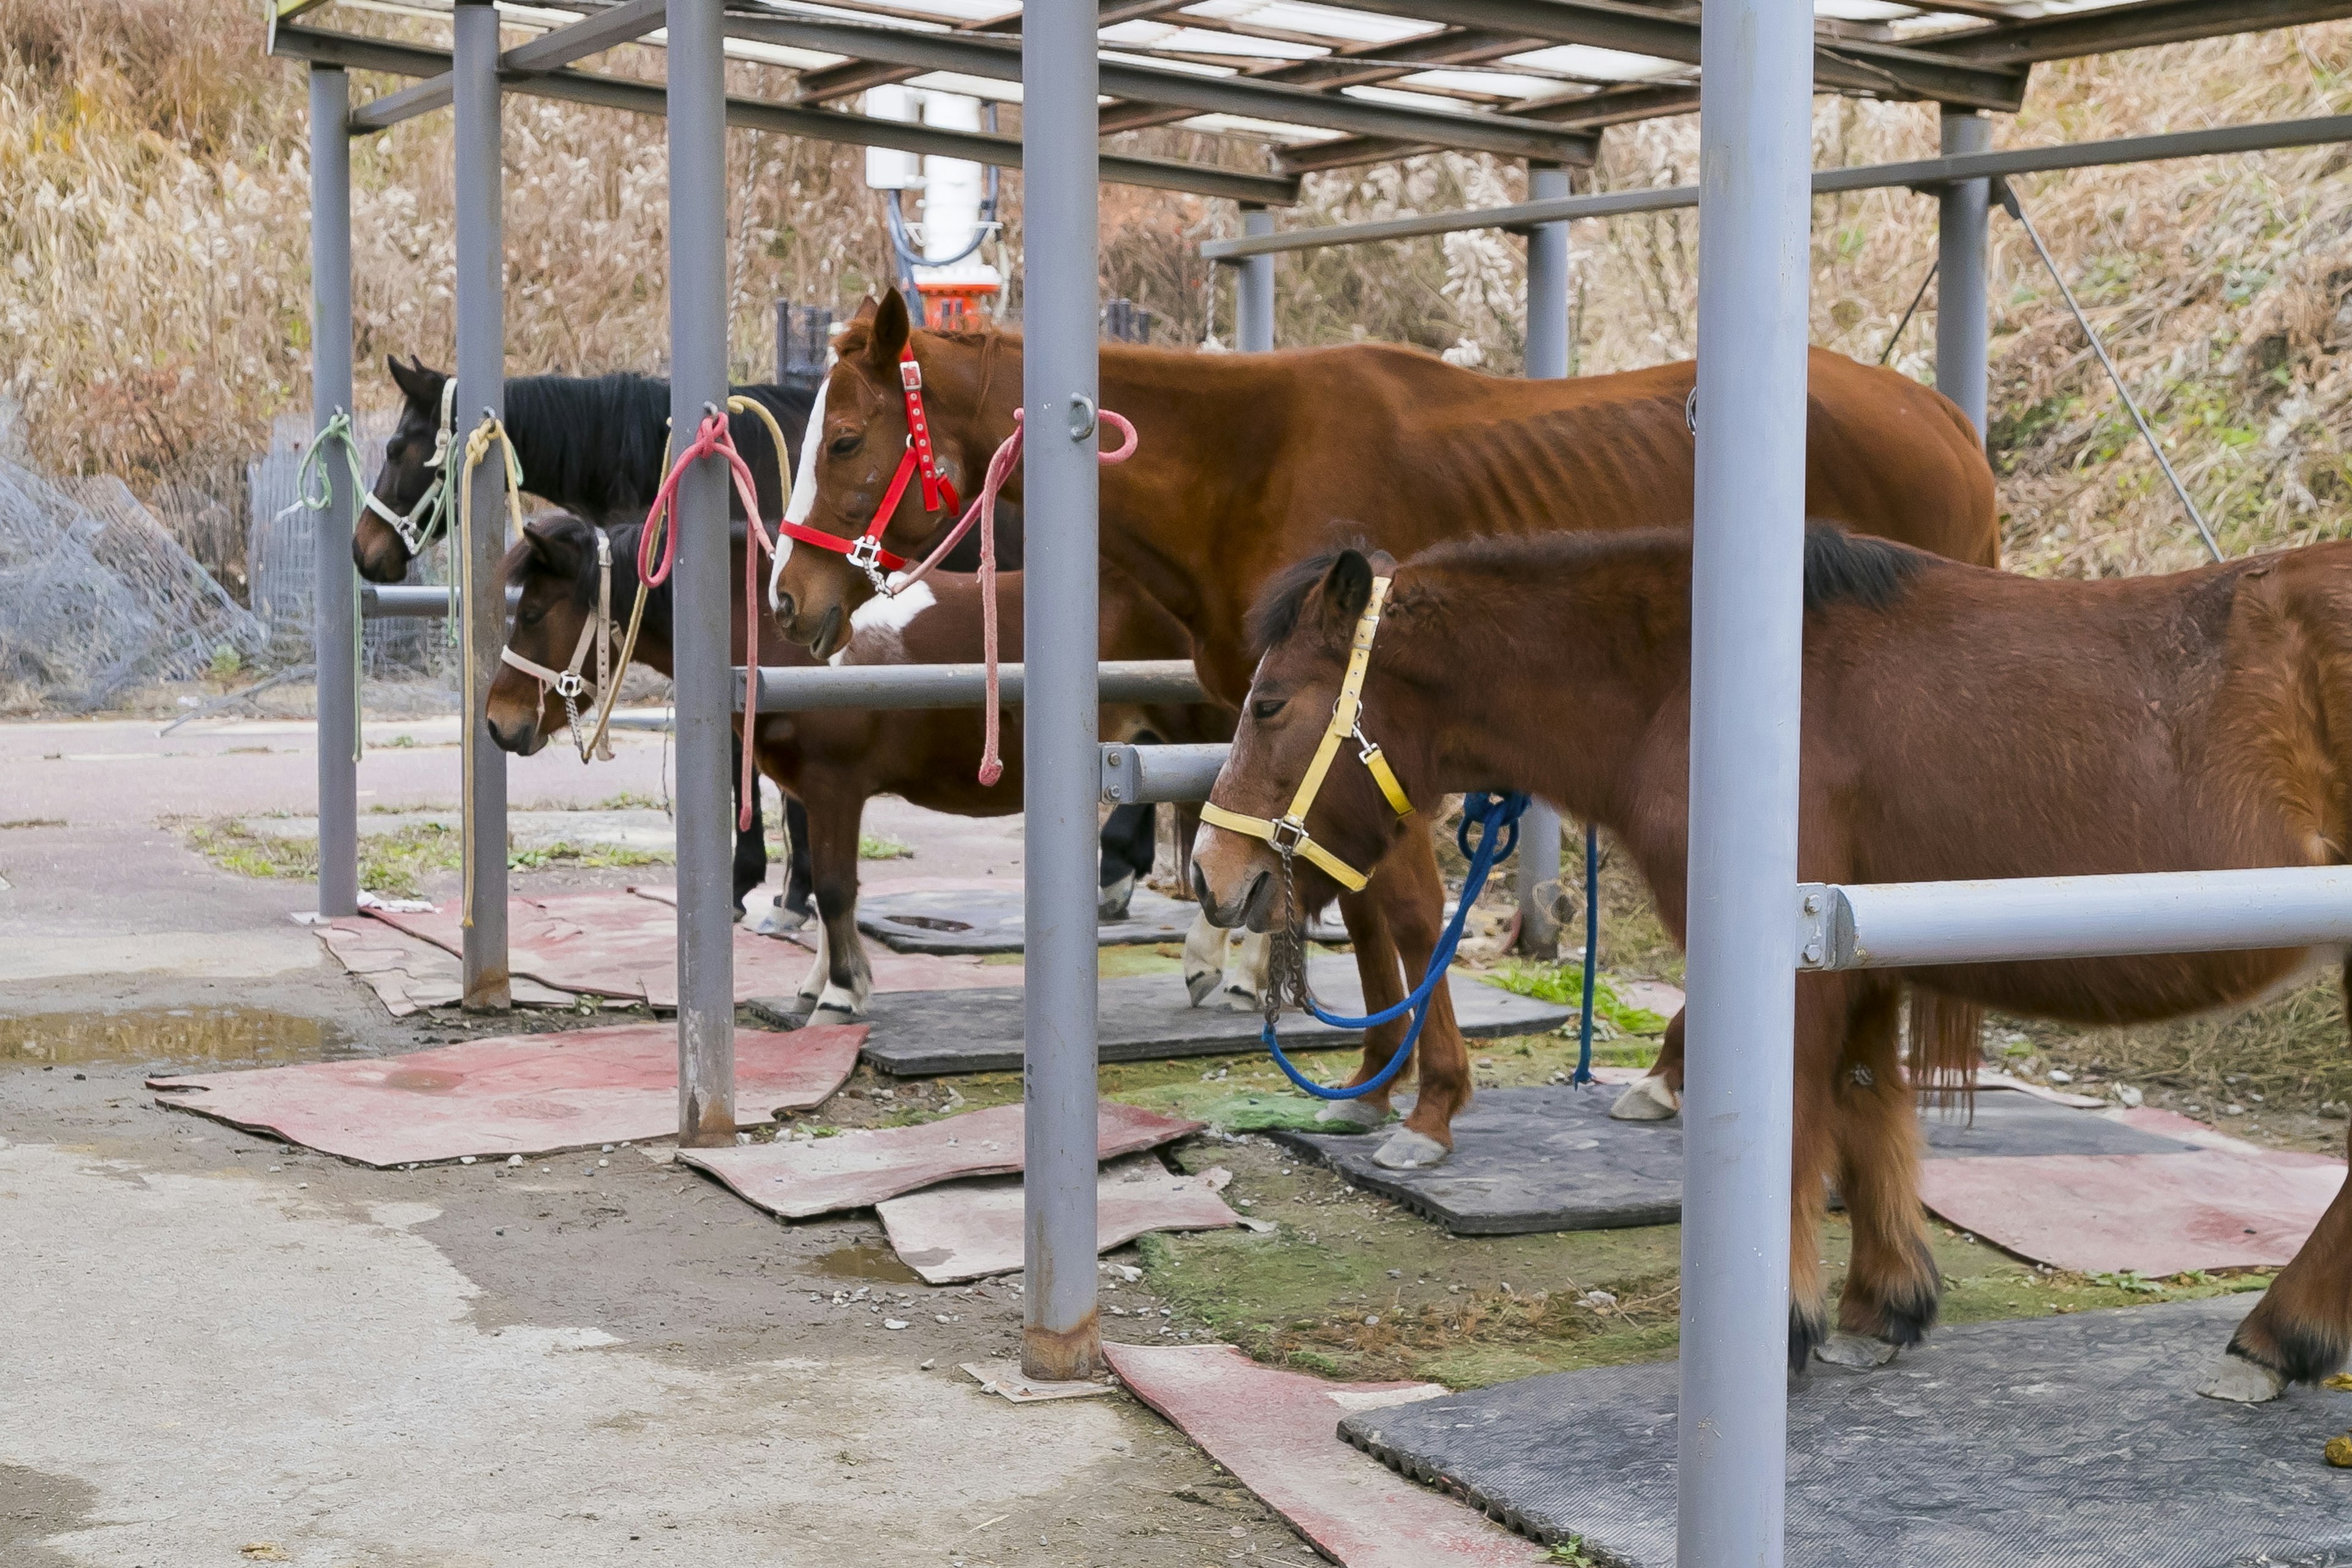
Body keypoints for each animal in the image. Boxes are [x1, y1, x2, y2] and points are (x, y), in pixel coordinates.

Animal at [771, 291, 2003, 1175]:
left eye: (845, 440)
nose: (788, 598)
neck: (1250, 469)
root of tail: (1942, 422)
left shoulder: (1377, 739)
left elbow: (1404, 910)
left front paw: (1433, 1101)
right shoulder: (1327, 759)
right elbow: (1355, 905)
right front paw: (1371, 1078)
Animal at [1194, 531, 2352, 1401]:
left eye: (1269, 704)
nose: (1212, 877)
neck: (1712, 693)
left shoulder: (1791, 969)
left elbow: (1799, 1122)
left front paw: (1786, 1323)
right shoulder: (1861, 960)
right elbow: (1866, 1108)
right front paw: (1881, 1307)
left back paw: (2275, 1337)